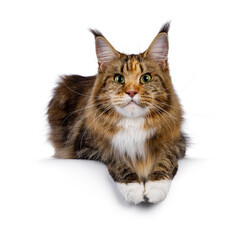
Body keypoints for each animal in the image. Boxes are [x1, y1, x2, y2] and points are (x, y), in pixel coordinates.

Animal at [46, 22, 186, 203]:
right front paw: (133, 188)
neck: (133, 123)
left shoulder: (177, 142)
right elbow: (117, 159)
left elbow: (165, 159)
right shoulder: (90, 146)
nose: (132, 92)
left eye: (146, 78)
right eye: (119, 79)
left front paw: (155, 187)